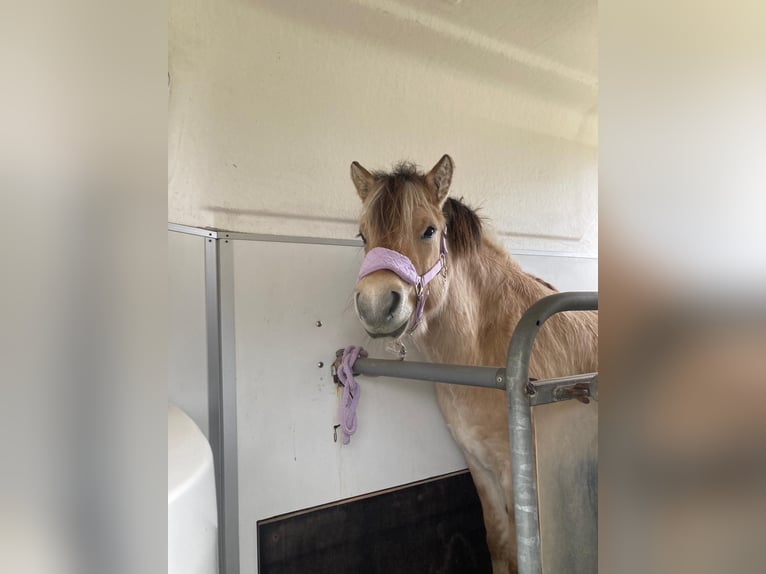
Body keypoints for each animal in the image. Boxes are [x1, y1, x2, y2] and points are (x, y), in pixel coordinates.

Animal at [350, 155, 600, 572]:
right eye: (362, 235)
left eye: (429, 231)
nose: (375, 304)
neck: (482, 348)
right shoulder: (478, 466)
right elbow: (499, 544)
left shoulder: (517, 472)